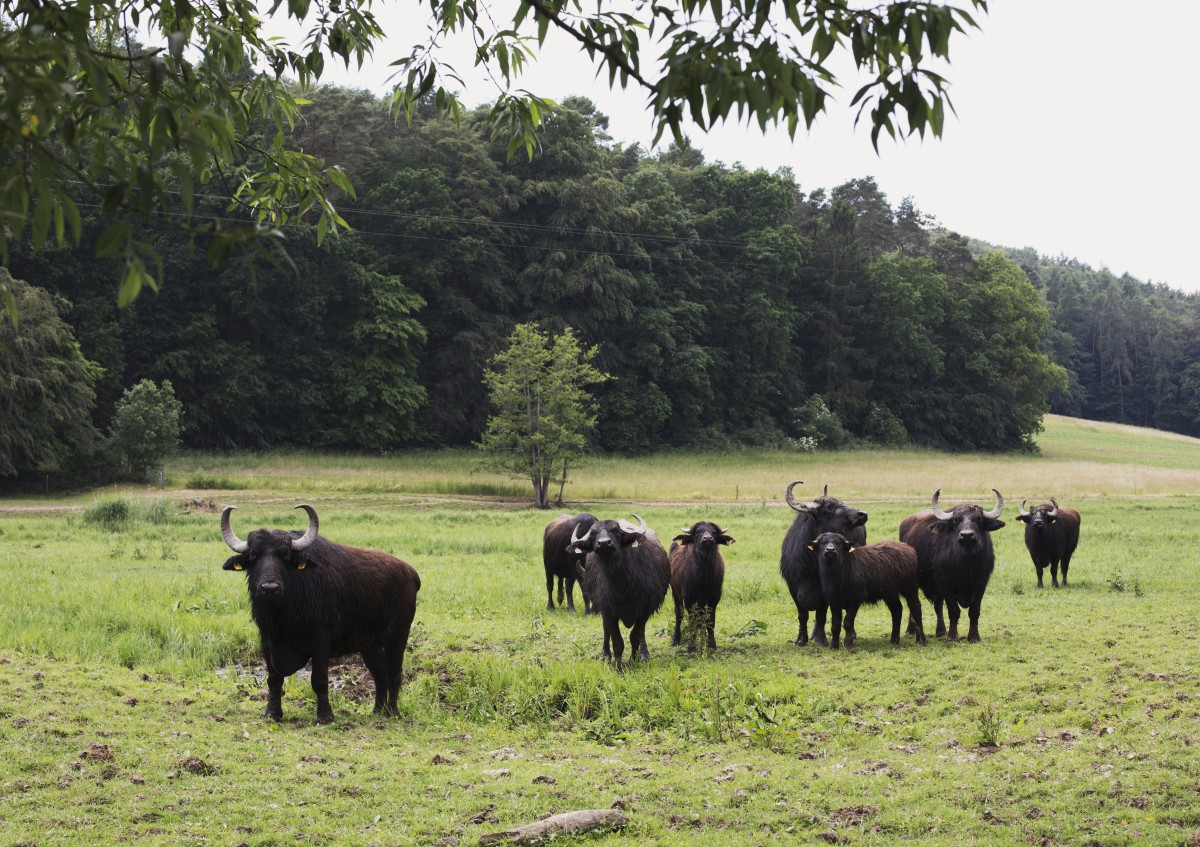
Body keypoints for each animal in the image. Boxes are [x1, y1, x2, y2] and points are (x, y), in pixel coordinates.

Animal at [220, 503, 422, 724]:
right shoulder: (267, 641)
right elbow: (274, 679)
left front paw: (325, 717)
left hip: (399, 637)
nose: (269, 587)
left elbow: (319, 681)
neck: (284, 616)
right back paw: (377, 710)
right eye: (253, 556)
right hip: (370, 645)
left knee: (394, 672)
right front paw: (272, 713)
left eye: (286, 555)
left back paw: (392, 712)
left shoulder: (321, 643)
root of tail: (411, 572)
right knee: (379, 674)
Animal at [568, 511, 672, 671]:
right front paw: (618, 667)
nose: (604, 543)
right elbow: (617, 641)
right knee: (606, 632)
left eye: (615, 530)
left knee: (640, 634)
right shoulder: (609, 611)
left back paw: (644, 654)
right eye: (593, 533)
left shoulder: (644, 610)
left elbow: (635, 636)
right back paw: (605, 655)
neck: (622, 585)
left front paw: (634, 659)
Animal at [667, 518, 729, 647]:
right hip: (676, 592)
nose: (707, 539)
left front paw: (711, 644)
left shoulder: (714, 598)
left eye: (714, 532)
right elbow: (692, 622)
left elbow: (710, 620)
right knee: (679, 614)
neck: (704, 575)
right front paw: (691, 646)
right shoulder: (689, 598)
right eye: (697, 532)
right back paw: (676, 639)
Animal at [782, 482, 868, 647]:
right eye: (830, 506)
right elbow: (802, 615)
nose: (863, 514)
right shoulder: (792, 587)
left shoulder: (826, 590)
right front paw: (801, 639)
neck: (810, 564)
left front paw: (821, 640)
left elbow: (821, 615)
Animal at [902, 489, 1003, 638]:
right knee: (913, 605)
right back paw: (911, 630)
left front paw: (974, 636)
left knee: (937, 606)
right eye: (956, 519)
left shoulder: (981, 584)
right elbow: (954, 611)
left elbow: (974, 611)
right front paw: (952, 636)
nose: (967, 535)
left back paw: (940, 630)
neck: (967, 564)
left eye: (978, 518)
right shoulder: (946, 584)